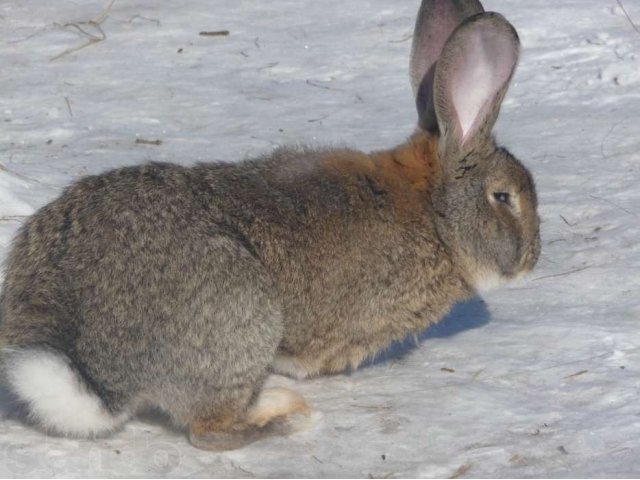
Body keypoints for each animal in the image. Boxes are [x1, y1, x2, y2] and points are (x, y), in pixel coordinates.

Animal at [0, 0, 540, 450]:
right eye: (503, 197)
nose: (532, 260)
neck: (433, 212)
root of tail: (92, 363)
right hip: (244, 316)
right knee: (209, 431)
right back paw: (286, 418)